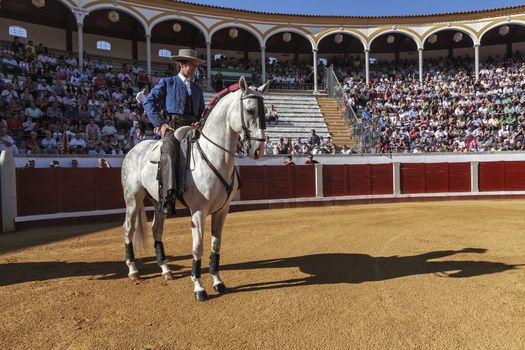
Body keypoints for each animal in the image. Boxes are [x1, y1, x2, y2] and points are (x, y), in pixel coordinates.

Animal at [121, 76, 270, 300]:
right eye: (251, 110)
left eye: (266, 111)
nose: (259, 150)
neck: (215, 156)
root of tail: (134, 149)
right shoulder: (199, 211)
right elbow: (197, 247)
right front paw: (199, 287)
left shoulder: (222, 211)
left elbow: (216, 244)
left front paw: (218, 281)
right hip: (132, 199)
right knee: (129, 228)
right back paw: (132, 270)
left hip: (159, 201)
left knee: (157, 229)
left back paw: (166, 269)